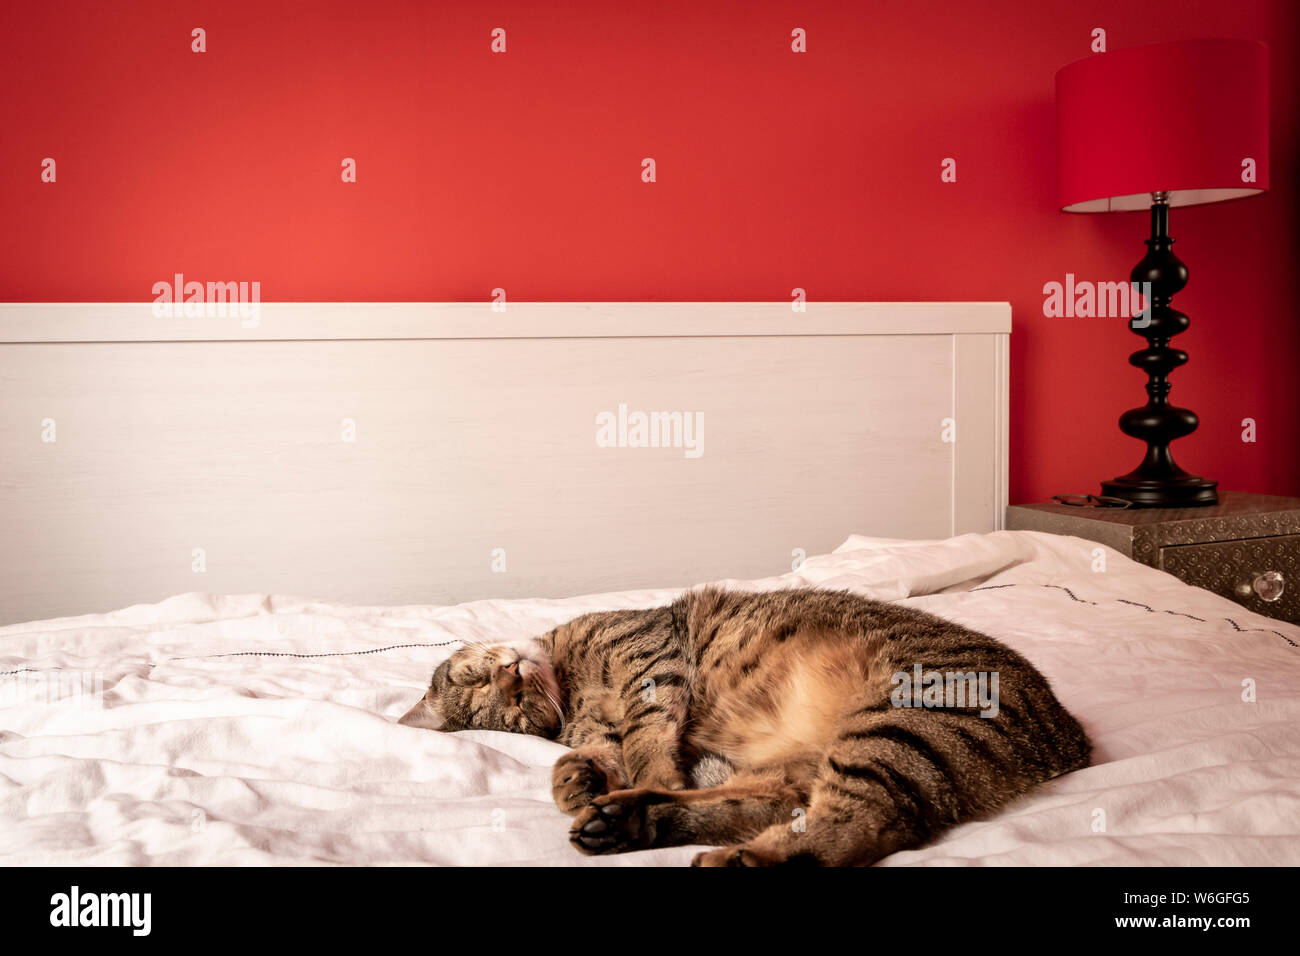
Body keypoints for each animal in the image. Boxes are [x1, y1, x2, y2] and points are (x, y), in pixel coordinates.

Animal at [395, 587, 1086, 863]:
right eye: (499, 706)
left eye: (479, 679)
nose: (512, 670)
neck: (571, 680)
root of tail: (1070, 740)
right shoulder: (600, 726)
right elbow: (593, 754)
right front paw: (575, 781)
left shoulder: (650, 662)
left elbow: (645, 739)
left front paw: (618, 773)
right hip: (818, 761)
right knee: (777, 808)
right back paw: (629, 820)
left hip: (900, 721)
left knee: (862, 822)